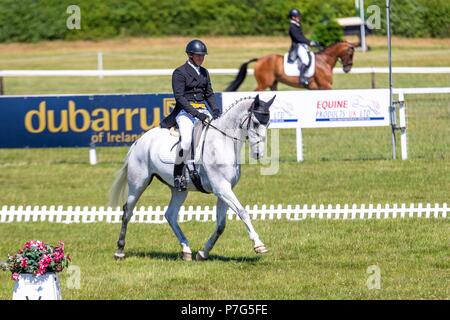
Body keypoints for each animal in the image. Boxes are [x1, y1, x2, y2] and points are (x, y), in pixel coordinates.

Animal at [110, 94, 276, 262]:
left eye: (267, 123)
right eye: (255, 123)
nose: (258, 154)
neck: (223, 143)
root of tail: (139, 141)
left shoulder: (224, 190)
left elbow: (221, 225)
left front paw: (203, 253)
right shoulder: (221, 188)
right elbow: (243, 212)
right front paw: (259, 245)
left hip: (179, 190)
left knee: (170, 215)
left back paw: (186, 250)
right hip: (138, 183)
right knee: (127, 211)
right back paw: (119, 250)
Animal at [225, 41, 356, 90]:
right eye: (350, 53)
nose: (347, 68)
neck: (324, 61)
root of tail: (259, 59)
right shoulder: (326, 86)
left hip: (273, 84)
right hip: (263, 84)